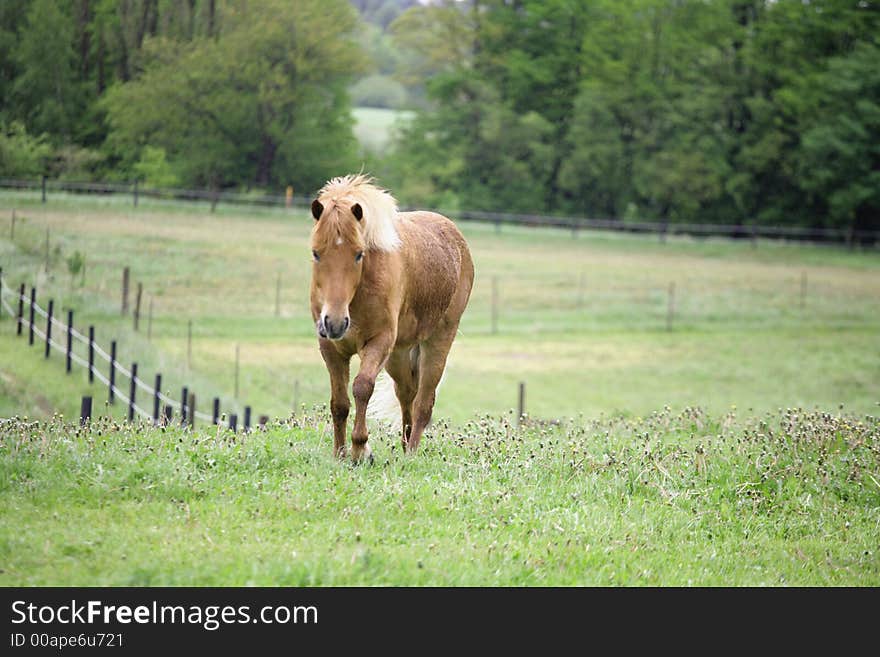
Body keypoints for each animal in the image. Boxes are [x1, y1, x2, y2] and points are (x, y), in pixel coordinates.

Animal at [310, 174, 474, 462]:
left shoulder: (378, 342)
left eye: (359, 254)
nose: (335, 322)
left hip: (438, 342)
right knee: (406, 393)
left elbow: (362, 387)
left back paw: (412, 453)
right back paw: (405, 444)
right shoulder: (330, 347)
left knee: (423, 402)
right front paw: (339, 453)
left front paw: (360, 449)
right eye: (316, 253)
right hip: (398, 355)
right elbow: (339, 403)